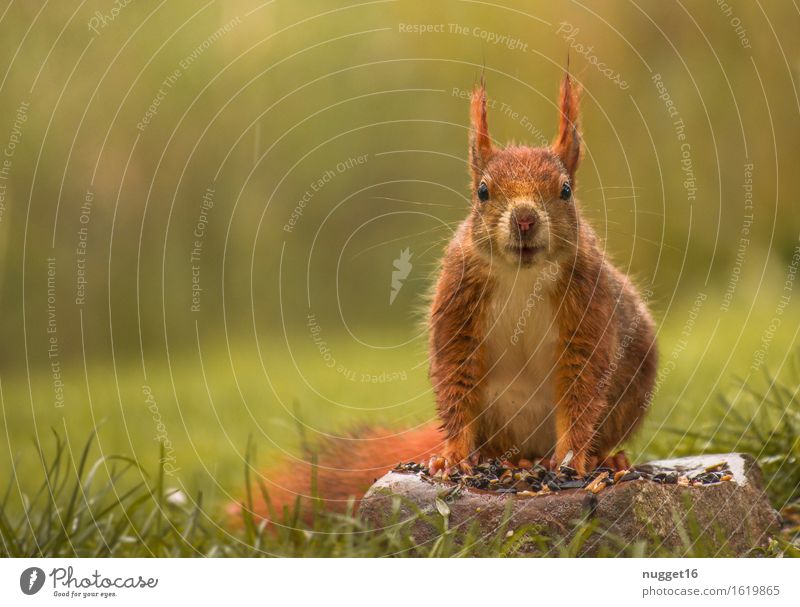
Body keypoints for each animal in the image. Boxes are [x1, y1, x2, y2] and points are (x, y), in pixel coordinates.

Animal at [250, 73, 656, 520]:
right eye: (482, 191)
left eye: (565, 190)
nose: (525, 219)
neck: (522, 275)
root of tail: (529, 448)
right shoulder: (458, 302)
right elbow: (456, 381)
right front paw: (452, 458)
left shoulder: (588, 305)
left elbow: (582, 386)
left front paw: (572, 460)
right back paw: (503, 460)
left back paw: (605, 458)